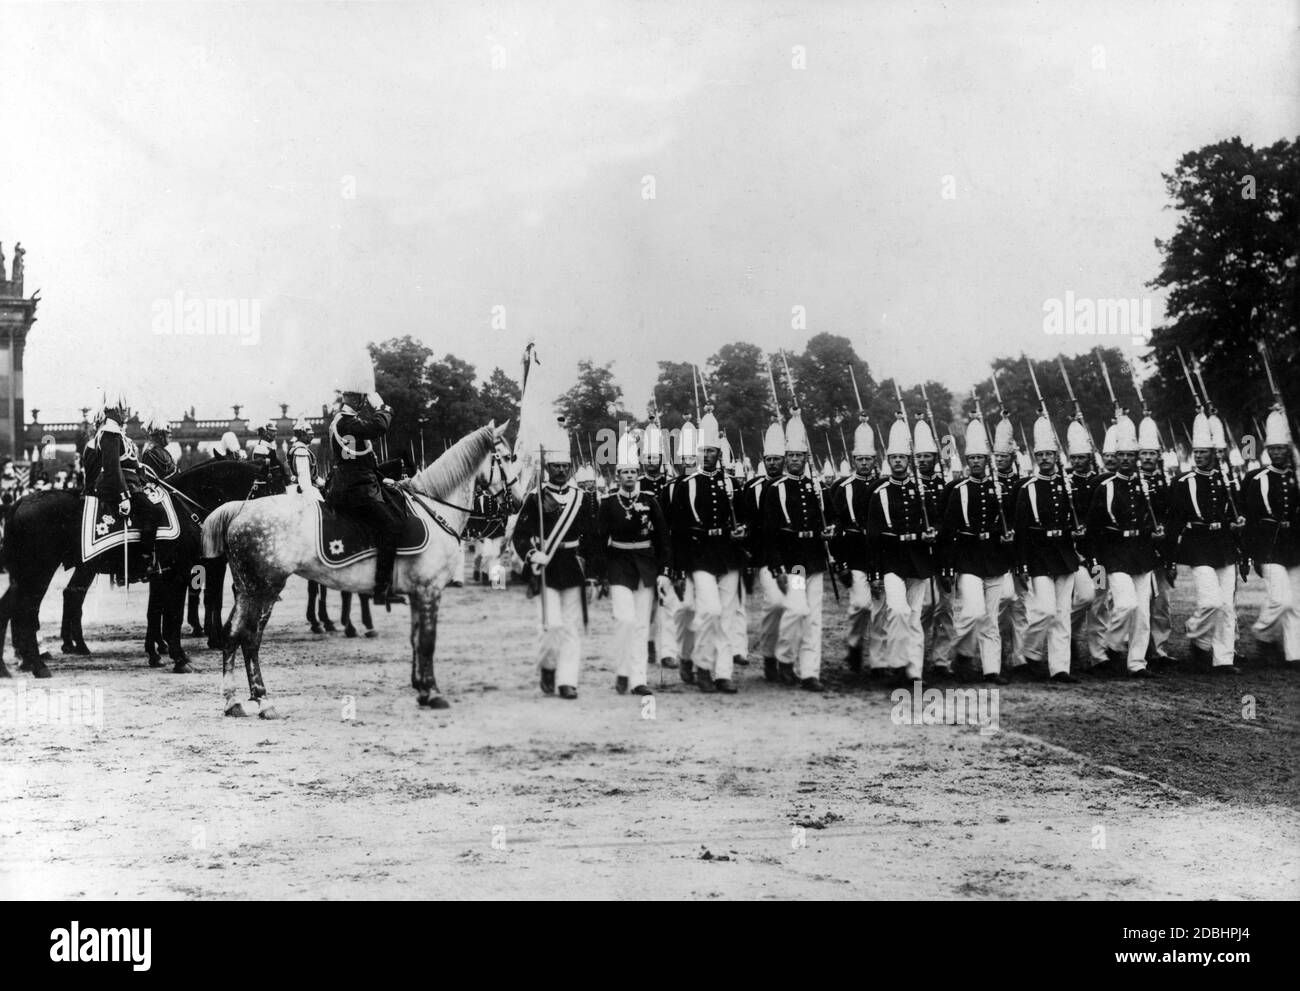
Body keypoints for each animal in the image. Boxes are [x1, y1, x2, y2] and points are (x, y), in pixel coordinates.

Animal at [0, 457, 270, 676]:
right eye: (274, 484)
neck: (188, 507)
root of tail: (18, 504)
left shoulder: (163, 575)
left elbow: (156, 612)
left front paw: (156, 653)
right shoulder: (181, 572)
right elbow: (175, 615)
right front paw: (180, 657)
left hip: (27, 574)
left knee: (14, 606)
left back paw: (17, 664)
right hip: (39, 571)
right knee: (29, 609)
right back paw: (39, 664)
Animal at [202, 421, 517, 712]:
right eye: (508, 456)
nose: (515, 503)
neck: (433, 509)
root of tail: (240, 510)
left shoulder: (418, 593)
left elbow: (416, 639)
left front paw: (420, 688)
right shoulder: (429, 591)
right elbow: (428, 641)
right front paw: (433, 692)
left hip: (246, 589)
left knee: (232, 633)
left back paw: (232, 701)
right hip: (265, 588)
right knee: (250, 637)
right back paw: (263, 699)